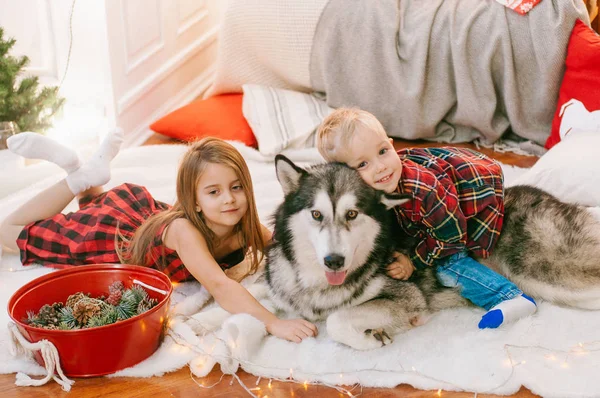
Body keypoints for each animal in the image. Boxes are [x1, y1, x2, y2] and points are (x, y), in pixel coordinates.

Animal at [268, 155, 468, 348]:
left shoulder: (410, 296)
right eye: (316, 214)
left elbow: (335, 319)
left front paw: (372, 339)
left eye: (352, 214)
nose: (334, 261)